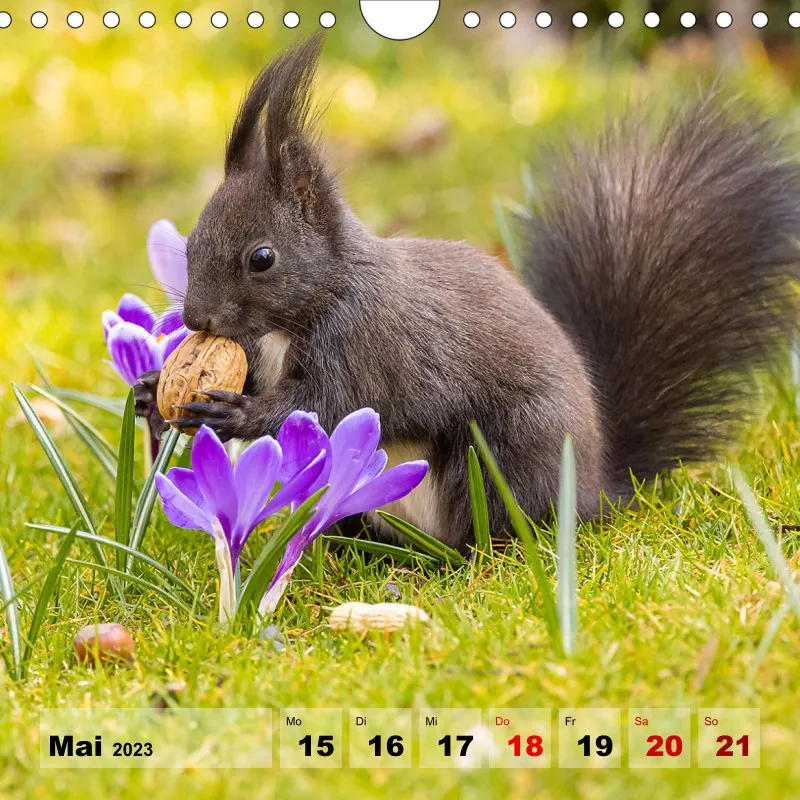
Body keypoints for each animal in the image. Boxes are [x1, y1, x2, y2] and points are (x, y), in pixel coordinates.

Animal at [135, 34, 800, 549]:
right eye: (191, 244)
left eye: (262, 259)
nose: (197, 318)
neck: (307, 307)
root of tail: (597, 489)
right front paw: (150, 392)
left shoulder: (368, 341)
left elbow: (327, 402)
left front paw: (234, 412)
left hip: (506, 456)